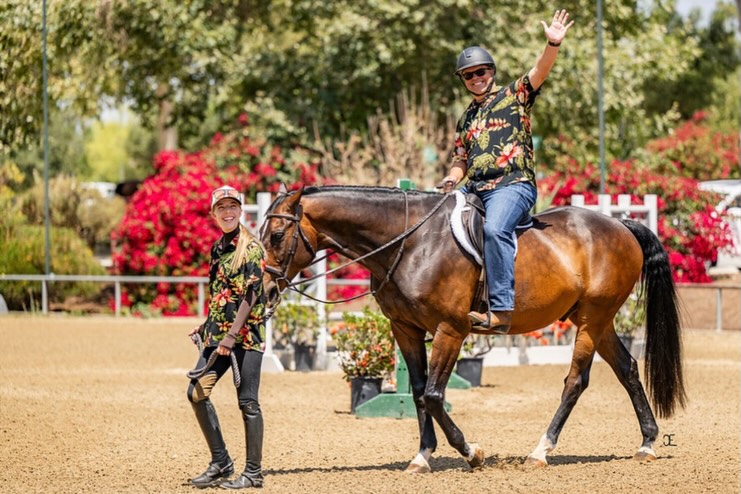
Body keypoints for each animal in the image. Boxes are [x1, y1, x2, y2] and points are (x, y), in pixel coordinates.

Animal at [259, 184, 686, 473]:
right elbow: (418, 393)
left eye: (277, 236)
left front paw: (471, 452)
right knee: (627, 368)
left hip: (591, 320)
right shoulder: (405, 329)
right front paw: (421, 456)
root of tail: (619, 224)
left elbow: (434, 395)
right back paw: (648, 442)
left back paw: (540, 451)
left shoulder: (450, 329)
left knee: (575, 381)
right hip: (598, 320)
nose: (263, 288)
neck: (410, 242)